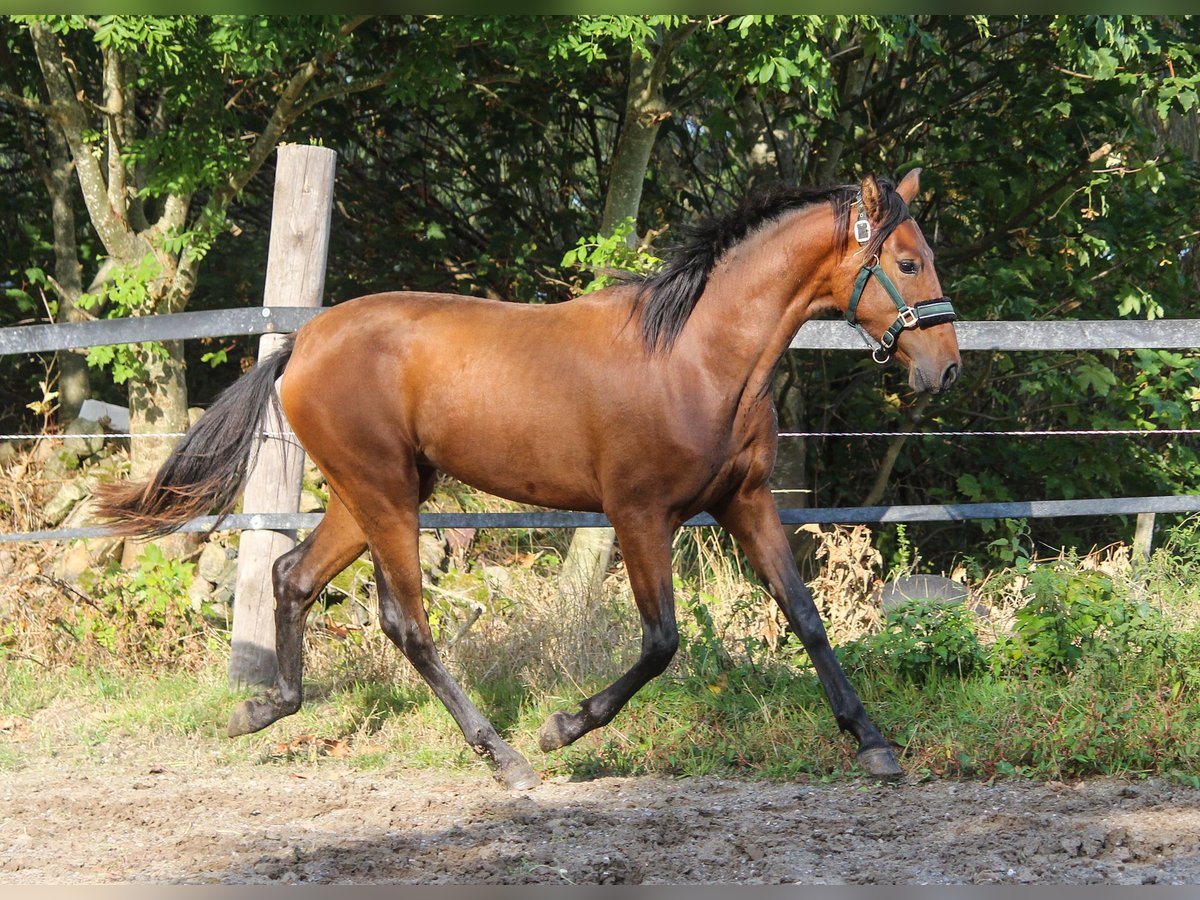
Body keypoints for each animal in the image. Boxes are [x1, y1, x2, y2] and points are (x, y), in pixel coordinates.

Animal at [93, 168, 960, 787]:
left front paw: (874, 745)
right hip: (385, 495)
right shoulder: (638, 514)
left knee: (292, 577)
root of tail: (302, 342)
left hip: (369, 494)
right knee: (408, 624)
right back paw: (505, 757)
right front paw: (562, 728)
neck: (697, 357)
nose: (945, 368)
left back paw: (261, 709)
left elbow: (804, 616)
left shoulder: (743, 503)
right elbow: (661, 641)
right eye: (907, 260)